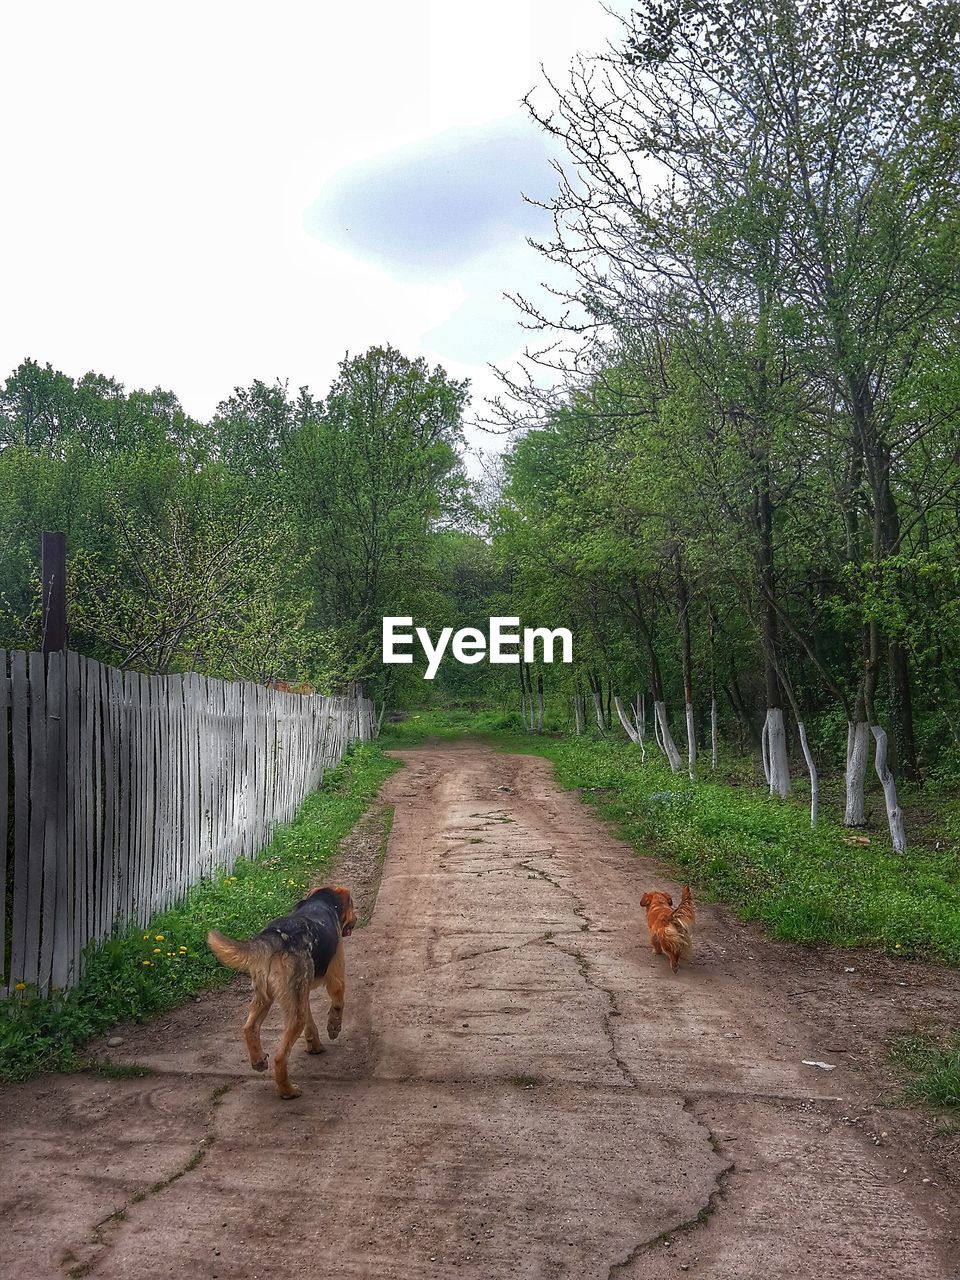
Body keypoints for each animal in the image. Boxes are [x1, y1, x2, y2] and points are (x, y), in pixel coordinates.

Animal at [208, 880, 358, 1100]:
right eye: (352, 905)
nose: (357, 919)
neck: (322, 900)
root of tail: (273, 937)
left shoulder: (302, 994)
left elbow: (311, 1024)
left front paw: (315, 1045)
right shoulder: (336, 975)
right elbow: (338, 1003)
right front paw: (333, 1028)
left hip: (265, 997)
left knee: (249, 1027)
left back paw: (258, 1060)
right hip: (294, 1015)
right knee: (280, 1057)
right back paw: (288, 1091)